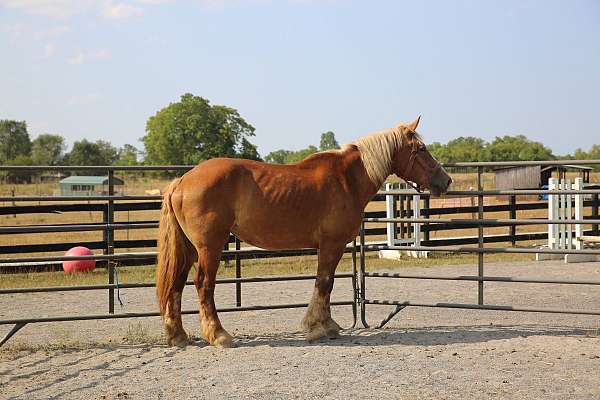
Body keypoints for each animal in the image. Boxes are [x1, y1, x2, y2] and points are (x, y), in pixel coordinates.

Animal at [155, 116, 450, 346]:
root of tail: (182, 180)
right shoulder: (331, 245)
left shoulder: (331, 247)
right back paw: (218, 335)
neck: (346, 180)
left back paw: (178, 336)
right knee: (203, 285)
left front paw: (327, 325)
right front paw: (317, 327)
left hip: (189, 249)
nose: (445, 180)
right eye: (421, 149)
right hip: (209, 248)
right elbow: (324, 282)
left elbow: (327, 283)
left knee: (177, 285)